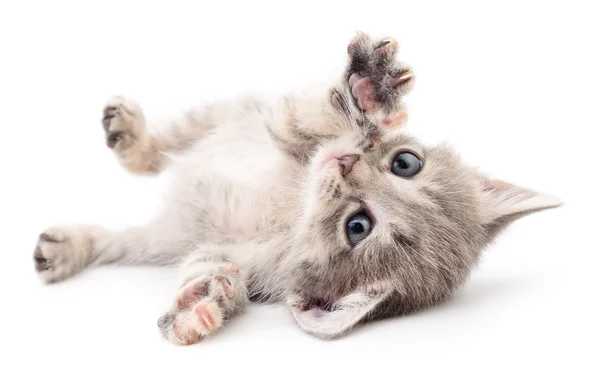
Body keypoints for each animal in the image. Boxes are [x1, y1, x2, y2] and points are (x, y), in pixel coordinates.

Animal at [31, 32, 556, 342]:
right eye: (406, 163)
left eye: (358, 226)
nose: (346, 163)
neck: (290, 208)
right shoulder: (288, 130)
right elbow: (319, 115)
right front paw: (369, 89)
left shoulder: (238, 257)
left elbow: (212, 270)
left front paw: (203, 302)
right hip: (227, 113)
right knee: (159, 151)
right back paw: (129, 134)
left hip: (161, 238)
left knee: (117, 237)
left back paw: (64, 247)